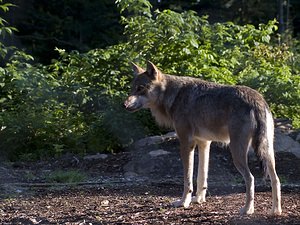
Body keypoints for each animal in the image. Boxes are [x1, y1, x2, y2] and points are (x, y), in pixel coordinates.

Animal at [123, 60, 282, 215]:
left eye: (140, 88)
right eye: (132, 88)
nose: (124, 105)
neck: (173, 96)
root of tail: (258, 100)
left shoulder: (186, 143)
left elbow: (188, 179)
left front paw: (183, 202)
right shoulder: (204, 143)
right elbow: (201, 176)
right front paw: (199, 199)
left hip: (237, 152)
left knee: (251, 178)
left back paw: (247, 210)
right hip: (267, 152)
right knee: (276, 179)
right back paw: (276, 211)